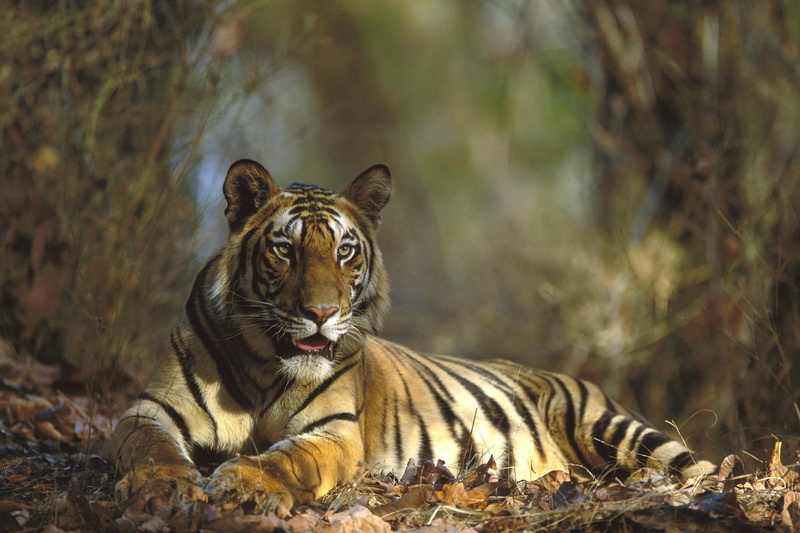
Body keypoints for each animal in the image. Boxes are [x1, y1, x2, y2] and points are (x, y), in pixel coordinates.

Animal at [112, 159, 716, 512]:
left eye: (344, 251)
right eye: (284, 249)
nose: (322, 312)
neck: (265, 363)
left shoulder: (334, 432)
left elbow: (286, 459)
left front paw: (239, 481)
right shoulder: (150, 409)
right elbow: (146, 446)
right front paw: (162, 485)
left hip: (615, 429)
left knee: (699, 471)